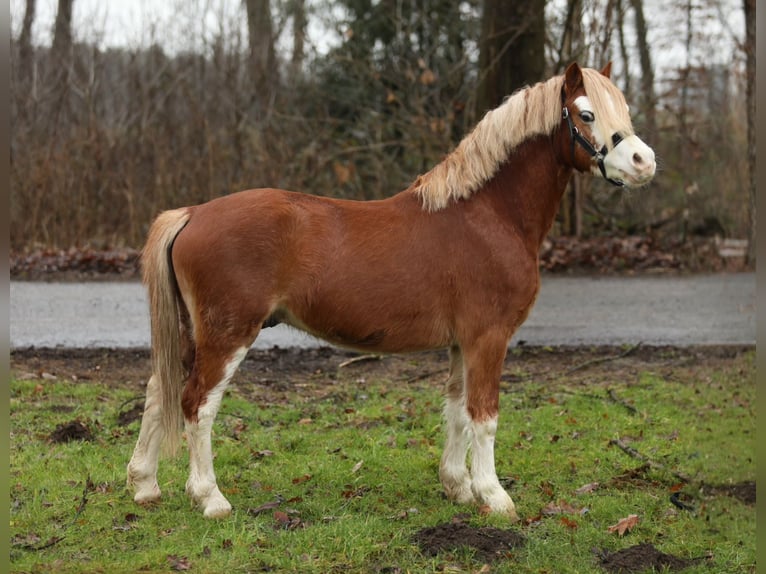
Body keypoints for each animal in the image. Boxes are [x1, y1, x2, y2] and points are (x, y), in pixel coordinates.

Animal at [127, 62, 655, 520]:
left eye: (622, 110)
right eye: (586, 113)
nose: (644, 162)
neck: (488, 215)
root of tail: (193, 213)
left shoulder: (462, 343)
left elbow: (456, 410)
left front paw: (457, 487)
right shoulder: (489, 337)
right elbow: (484, 415)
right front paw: (494, 496)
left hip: (193, 331)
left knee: (158, 390)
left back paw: (145, 486)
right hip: (228, 334)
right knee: (197, 403)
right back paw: (210, 498)